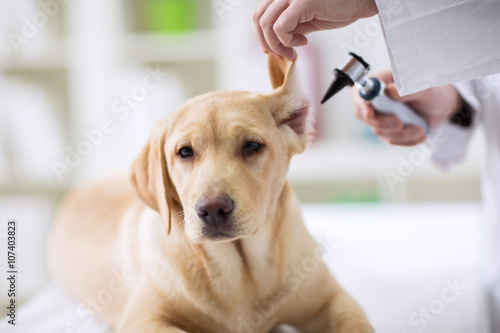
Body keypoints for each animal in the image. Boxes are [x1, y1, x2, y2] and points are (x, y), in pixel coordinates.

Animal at [47, 55, 376, 332]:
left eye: (251, 146)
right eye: (184, 152)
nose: (212, 209)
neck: (242, 271)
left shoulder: (335, 300)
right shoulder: (142, 318)